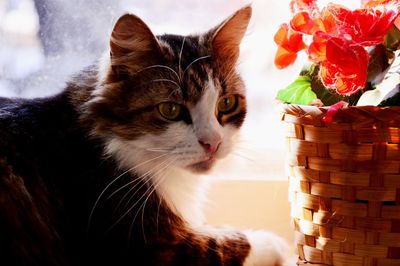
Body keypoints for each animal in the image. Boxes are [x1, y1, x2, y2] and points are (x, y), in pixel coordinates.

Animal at [0, 6, 290, 266]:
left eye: (226, 103)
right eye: (170, 109)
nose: (213, 143)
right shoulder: (147, 244)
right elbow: (226, 244)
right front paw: (276, 244)